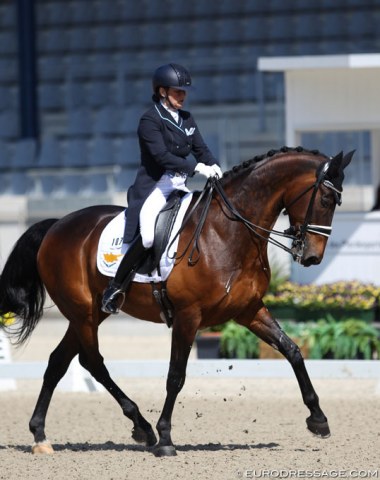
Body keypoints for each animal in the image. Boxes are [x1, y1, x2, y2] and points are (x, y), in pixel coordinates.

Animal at [0, 147, 354, 458]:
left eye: (337, 201)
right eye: (325, 199)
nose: (312, 257)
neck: (228, 232)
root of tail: (56, 225)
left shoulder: (249, 310)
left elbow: (292, 350)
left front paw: (318, 419)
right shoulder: (187, 316)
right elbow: (175, 375)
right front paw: (166, 438)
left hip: (89, 314)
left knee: (58, 362)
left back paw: (41, 435)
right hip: (83, 312)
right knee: (93, 362)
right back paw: (143, 427)